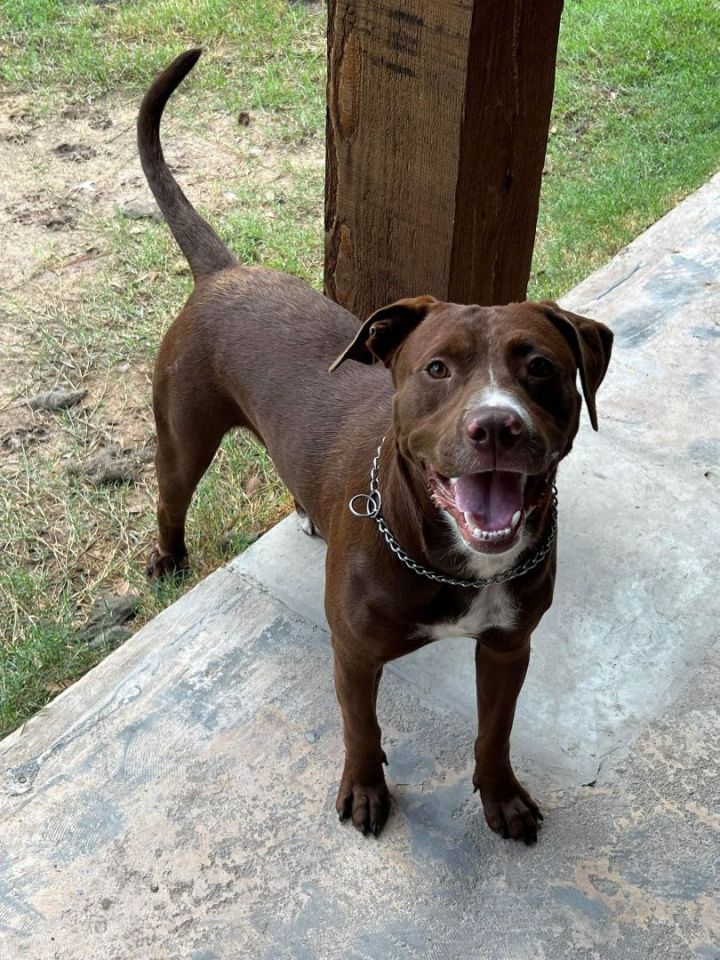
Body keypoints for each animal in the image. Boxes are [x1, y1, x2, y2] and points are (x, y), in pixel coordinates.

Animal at [138, 52, 612, 844]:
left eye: (540, 367)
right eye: (437, 368)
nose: (497, 426)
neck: (454, 559)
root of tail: (225, 272)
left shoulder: (508, 647)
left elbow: (495, 732)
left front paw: (501, 796)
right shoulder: (355, 655)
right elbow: (361, 729)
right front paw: (365, 791)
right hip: (182, 435)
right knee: (171, 500)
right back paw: (168, 560)